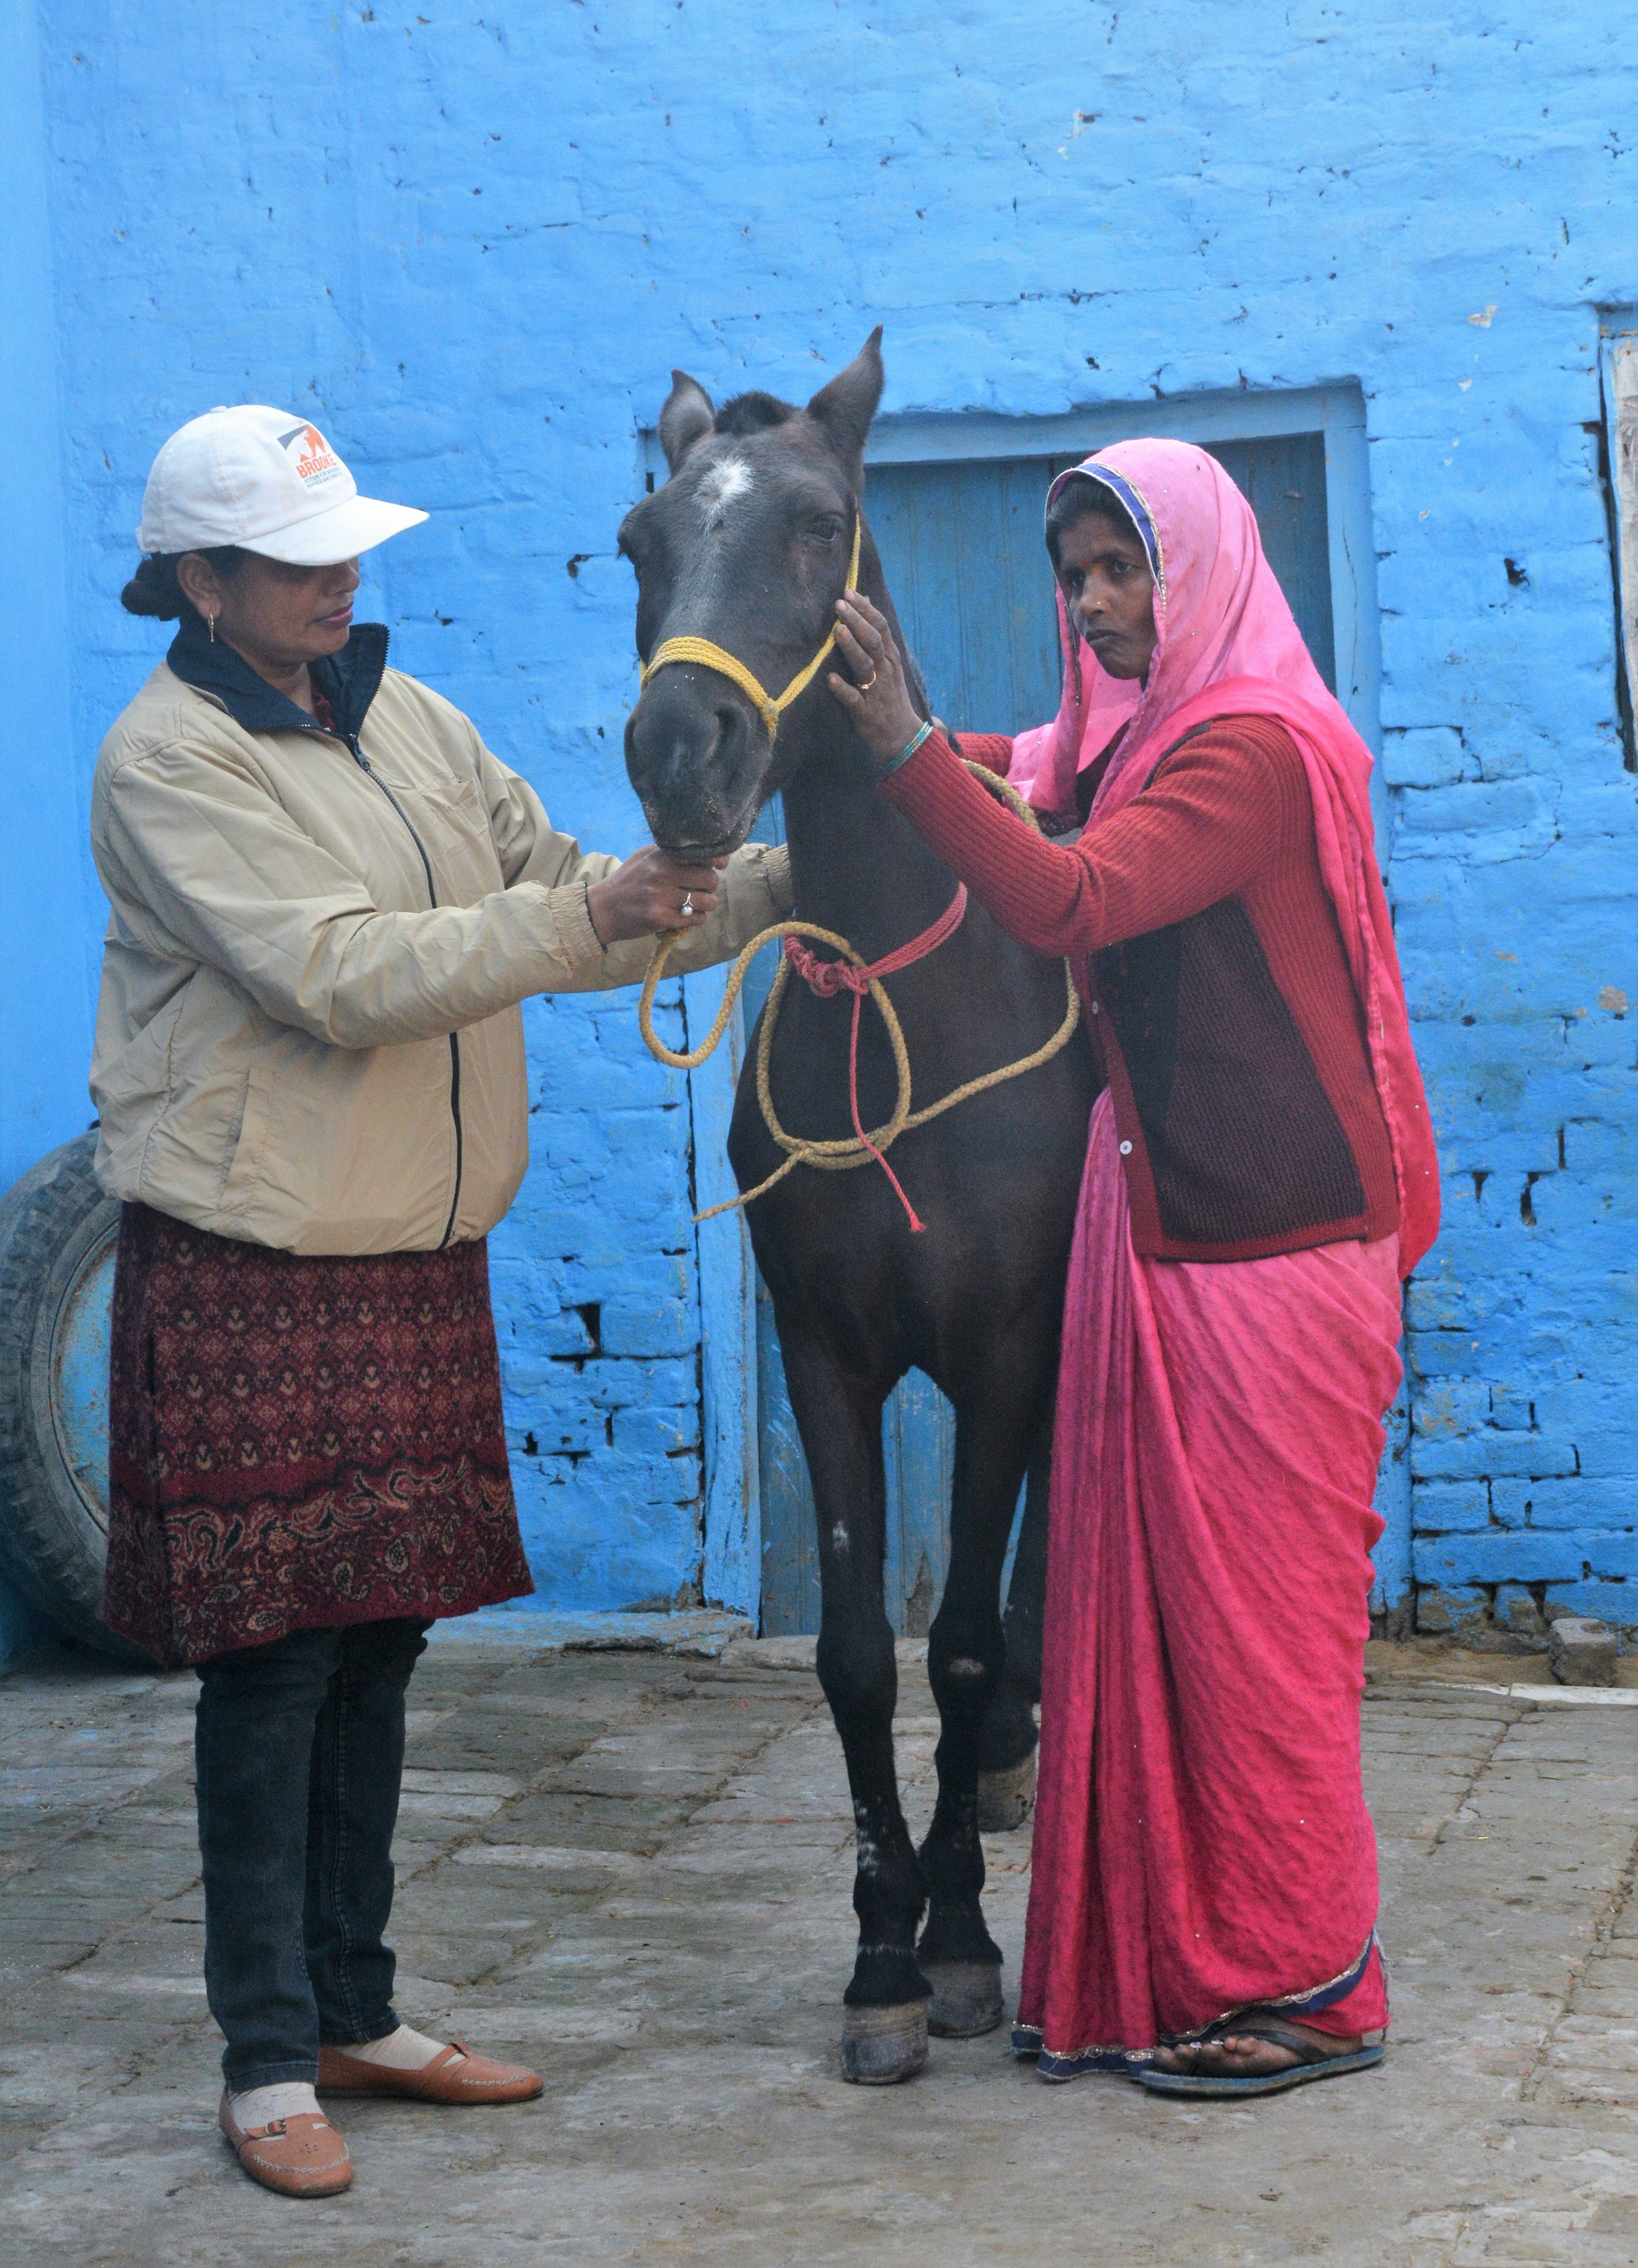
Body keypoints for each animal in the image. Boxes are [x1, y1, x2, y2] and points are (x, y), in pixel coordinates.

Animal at [617, 336, 1089, 2086]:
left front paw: (956, 1942)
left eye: (819, 523)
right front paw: (881, 1950)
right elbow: (854, 1652)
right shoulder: (825, 1353)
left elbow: (954, 1639)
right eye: (638, 538)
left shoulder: (1004, 1347)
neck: (897, 997)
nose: (678, 752)